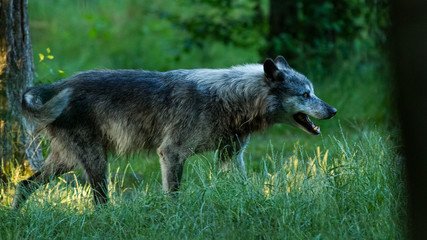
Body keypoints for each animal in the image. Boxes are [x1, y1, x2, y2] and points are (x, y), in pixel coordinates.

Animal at [10, 55, 338, 208]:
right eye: (306, 94)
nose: (334, 111)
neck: (231, 99)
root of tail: (57, 85)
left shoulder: (231, 156)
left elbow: (242, 187)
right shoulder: (171, 154)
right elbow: (174, 196)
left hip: (66, 162)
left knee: (24, 185)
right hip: (95, 162)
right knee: (99, 201)